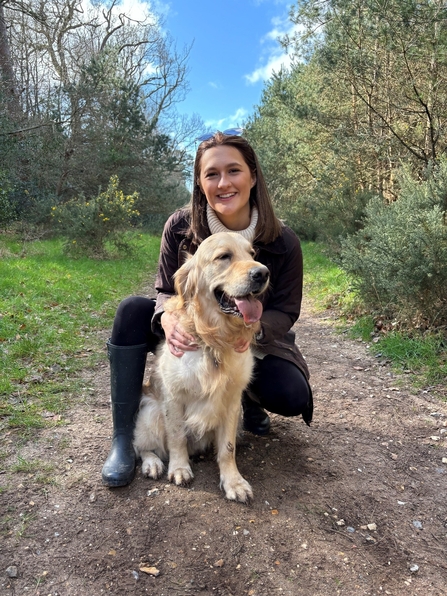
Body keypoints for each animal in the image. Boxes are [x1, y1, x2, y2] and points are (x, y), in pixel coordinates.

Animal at [134, 233, 270, 502]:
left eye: (252, 254)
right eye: (224, 256)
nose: (263, 273)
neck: (214, 339)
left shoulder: (231, 402)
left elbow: (228, 448)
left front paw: (233, 482)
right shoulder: (174, 397)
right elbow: (176, 437)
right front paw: (179, 468)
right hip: (151, 413)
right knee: (141, 446)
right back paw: (152, 463)